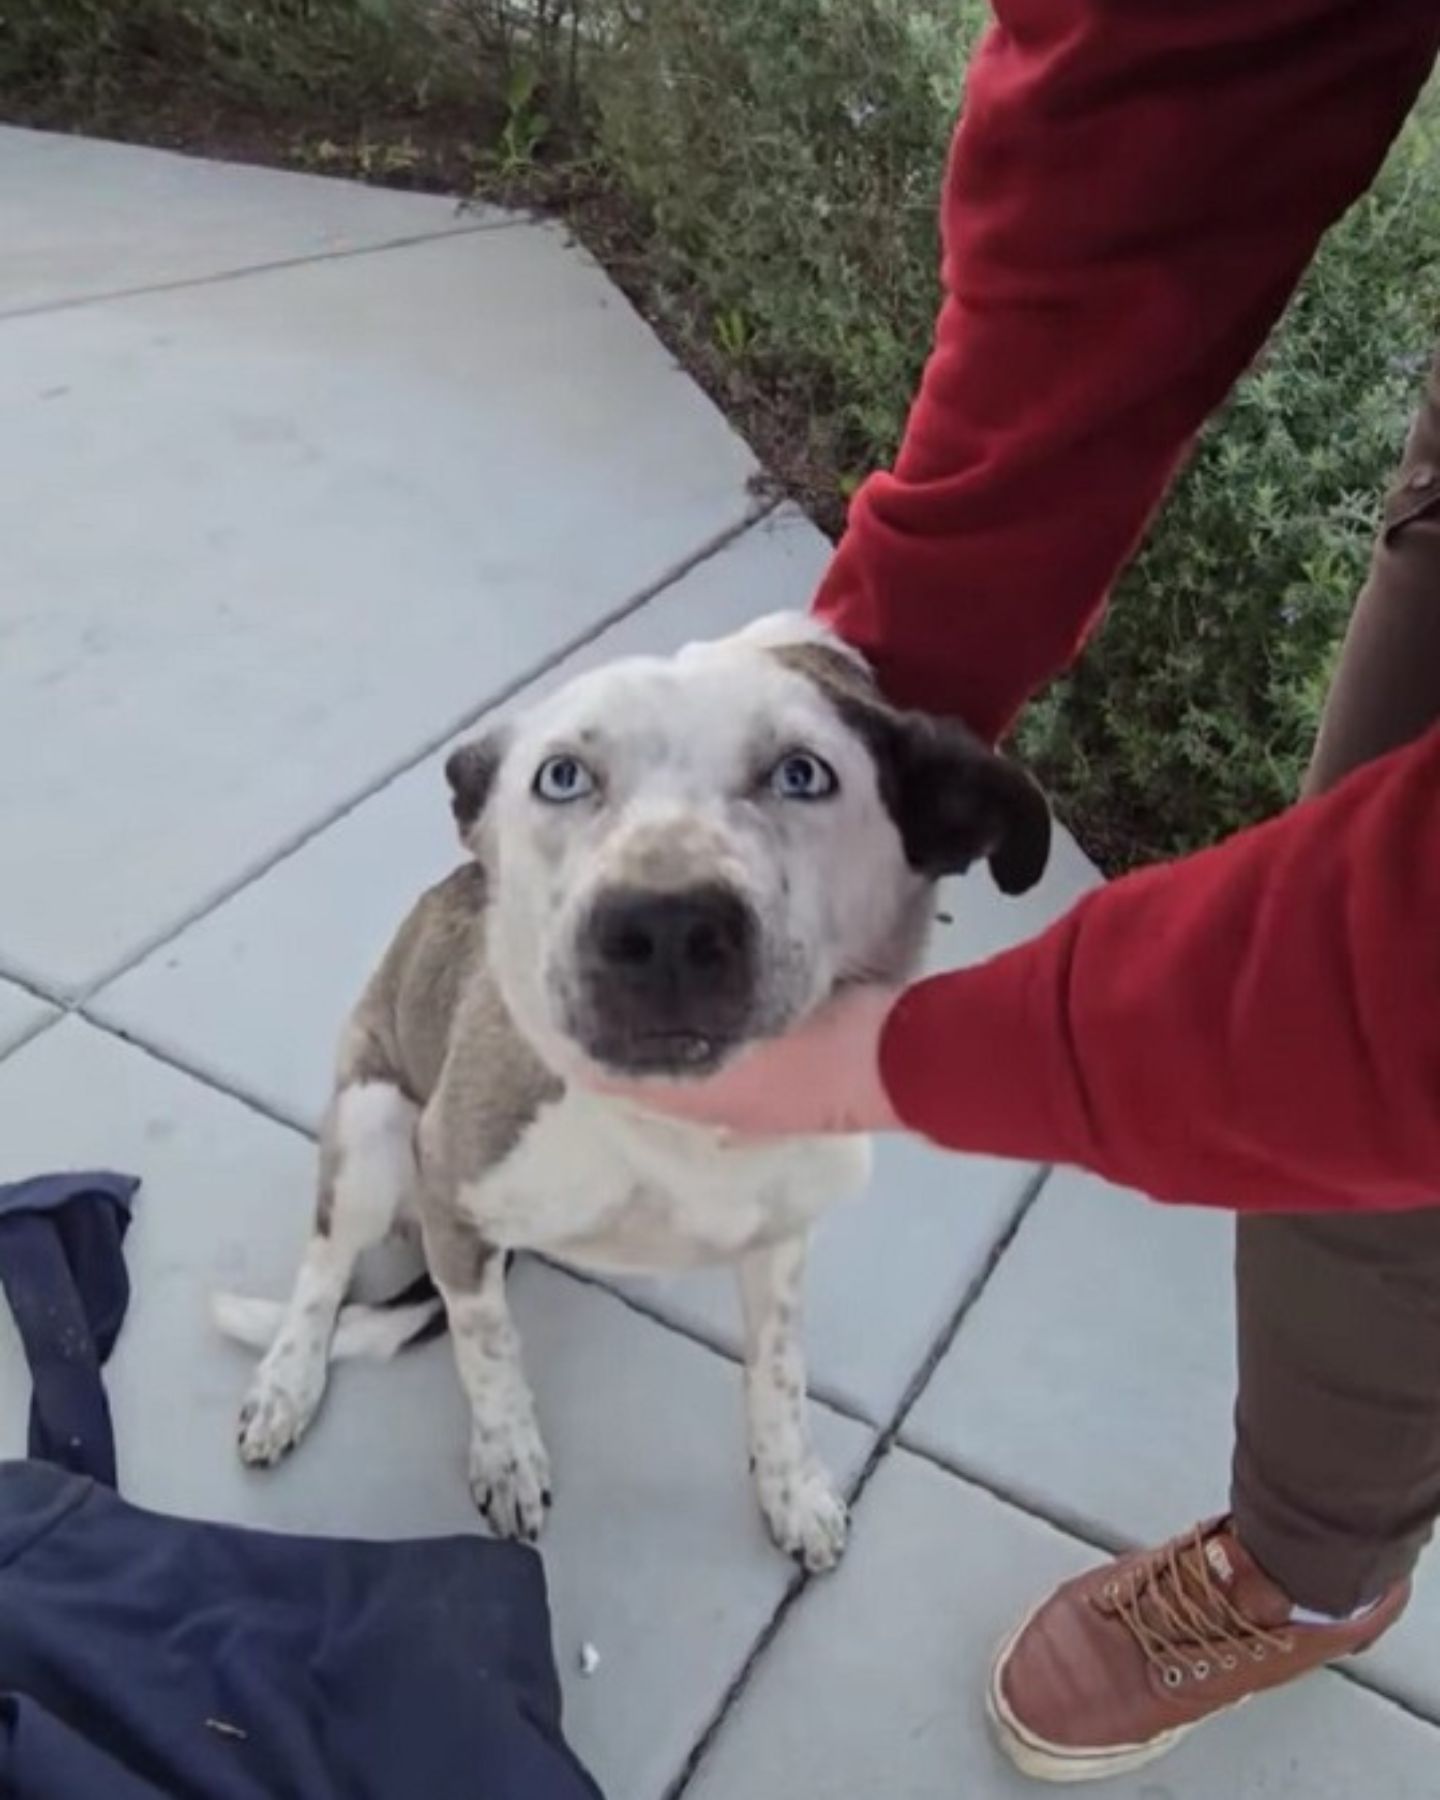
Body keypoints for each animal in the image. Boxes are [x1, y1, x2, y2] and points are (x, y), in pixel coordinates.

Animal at [216, 612, 1044, 1569]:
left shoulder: (782, 1241)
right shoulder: (455, 1201)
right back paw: (286, 1382)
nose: (666, 926)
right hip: (375, 1129)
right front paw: (507, 1455)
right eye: (562, 775)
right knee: (323, 1267)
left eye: (803, 773)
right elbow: (486, 1348)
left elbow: (780, 1373)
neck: (682, 1127)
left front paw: (792, 1487)